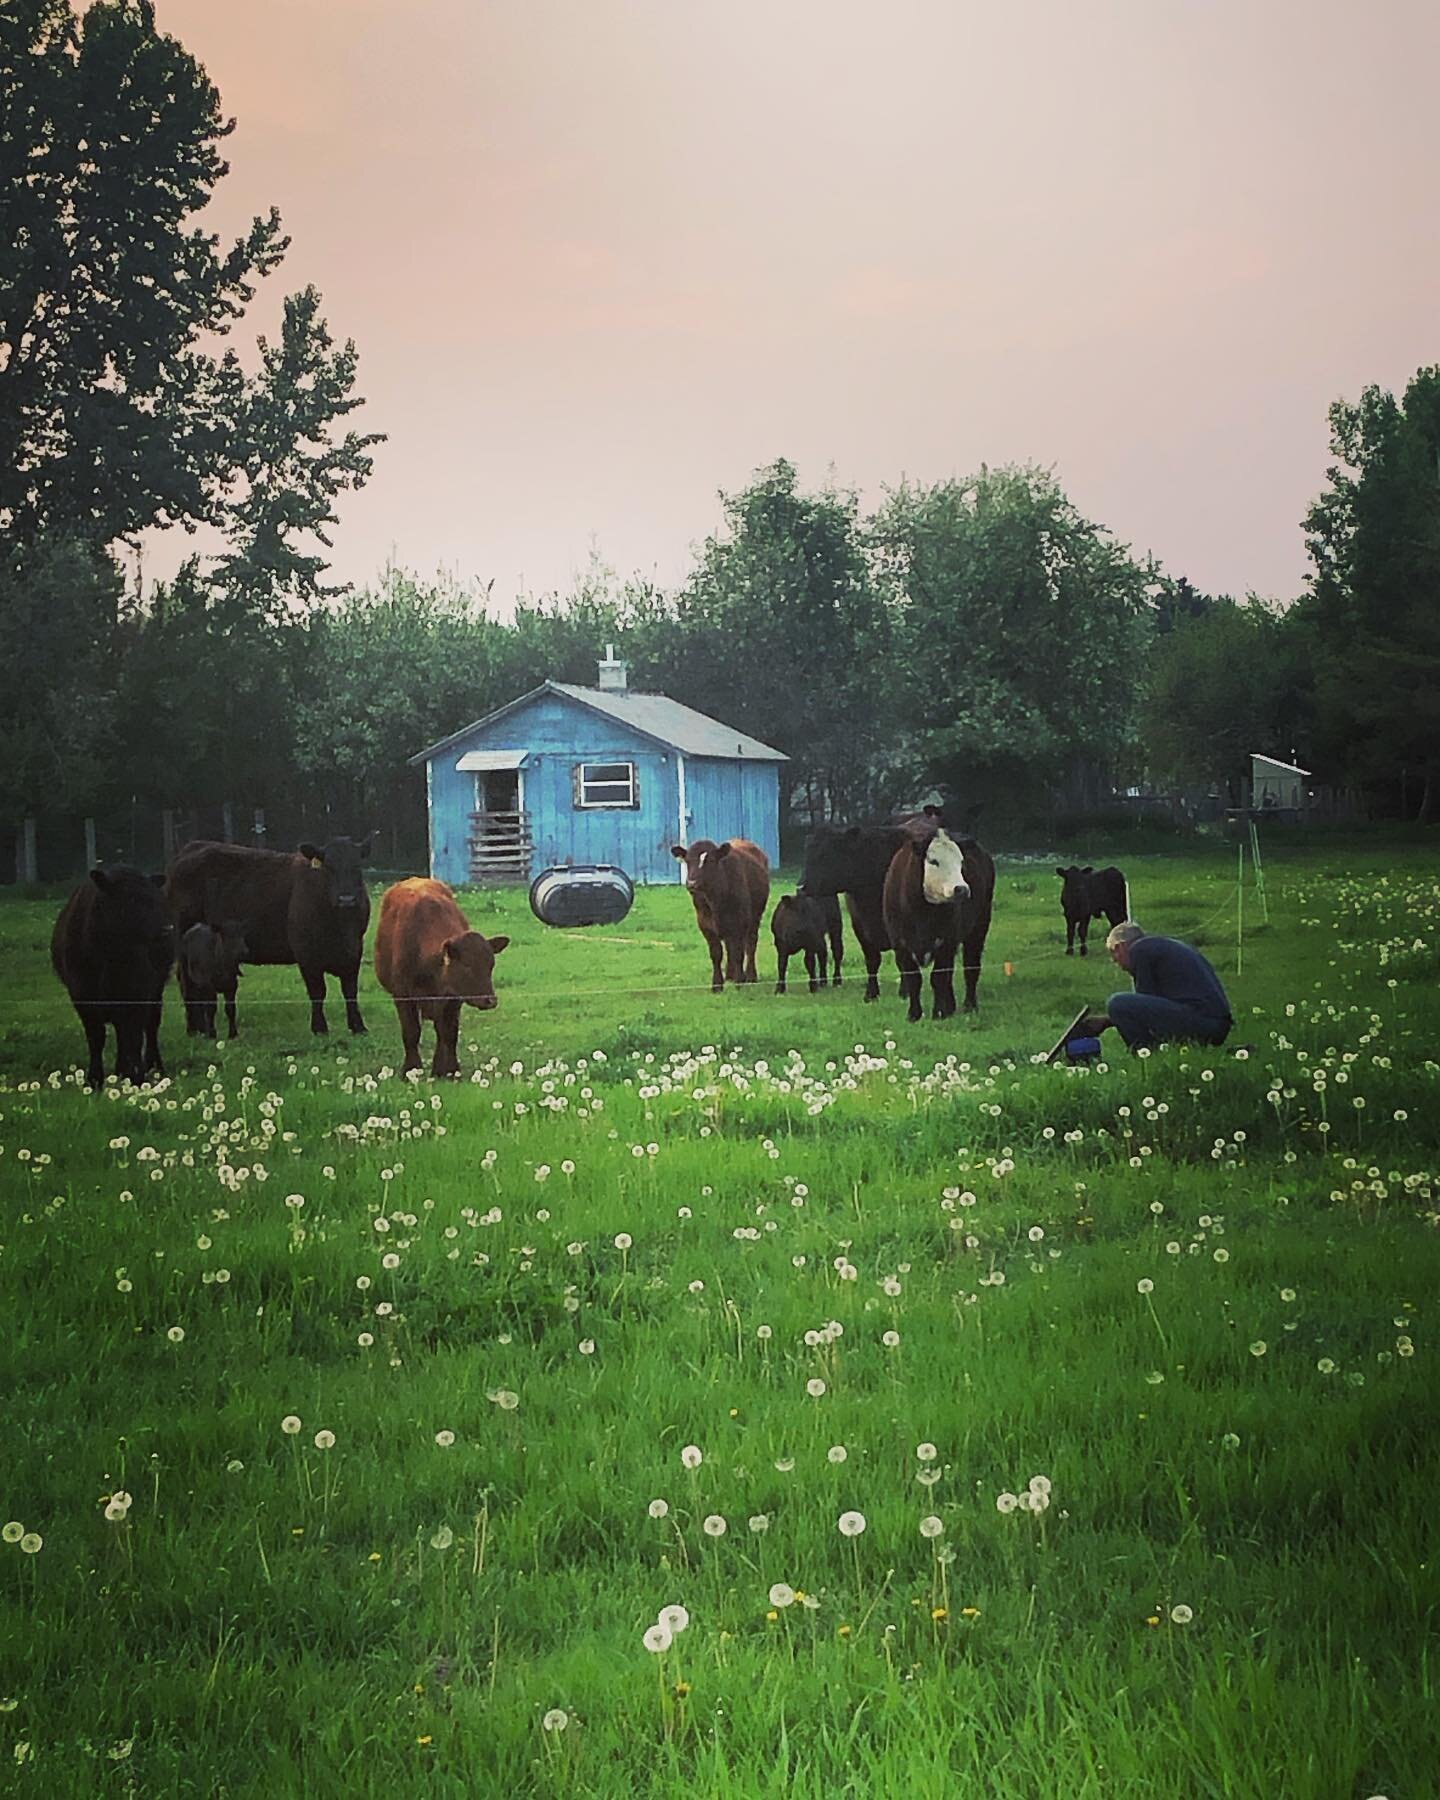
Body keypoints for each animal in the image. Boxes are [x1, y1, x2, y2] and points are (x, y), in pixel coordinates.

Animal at [51, 864, 175, 1087]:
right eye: (131, 898)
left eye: (155, 898)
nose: (166, 928)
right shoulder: (82, 995)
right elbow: (96, 1036)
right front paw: (94, 1079)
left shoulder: (137, 993)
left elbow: (134, 1034)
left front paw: (136, 1076)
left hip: (156, 990)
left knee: (150, 1027)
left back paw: (153, 1067)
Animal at [167, 835, 376, 1036]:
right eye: (328, 868)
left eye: (357, 866)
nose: (346, 899)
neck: (340, 925)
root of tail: (191, 848)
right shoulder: (306, 953)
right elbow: (318, 991)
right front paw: (319, 1027)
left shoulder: (354, 949)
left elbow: (350, 990)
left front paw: (358, 1026)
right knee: (187, 983)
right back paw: (194, 1028)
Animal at [370, 878, 511, 1072]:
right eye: (466, 965)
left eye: (491, 964)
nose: (490, 1001)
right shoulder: (402, 995)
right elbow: (411, 1032)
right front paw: (411, 1068)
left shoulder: (454, 997)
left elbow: (449, 1033)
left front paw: (449, 1069)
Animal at [673, 835, 770, 993]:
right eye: (687, 861)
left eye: (711, 860)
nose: (692, 883)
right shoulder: (705, 925)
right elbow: (716, 953)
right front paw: (717, 984)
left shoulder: (739, 922)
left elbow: (738, 952)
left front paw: (739, 981)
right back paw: (730, 975)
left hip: (755, 917)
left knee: (750, 944)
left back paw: (750, 975)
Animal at [882, 824, 993, 1022]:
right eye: (933, 861)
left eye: (961, 862)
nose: (961, 889)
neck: (921, 914)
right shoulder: (900, 944)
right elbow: (913, 978)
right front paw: (914, 1014)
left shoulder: (946, 941)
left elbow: (938, 977)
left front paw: (939, 1012)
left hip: (979, 928)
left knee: (971, 967)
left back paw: (969, 1005)